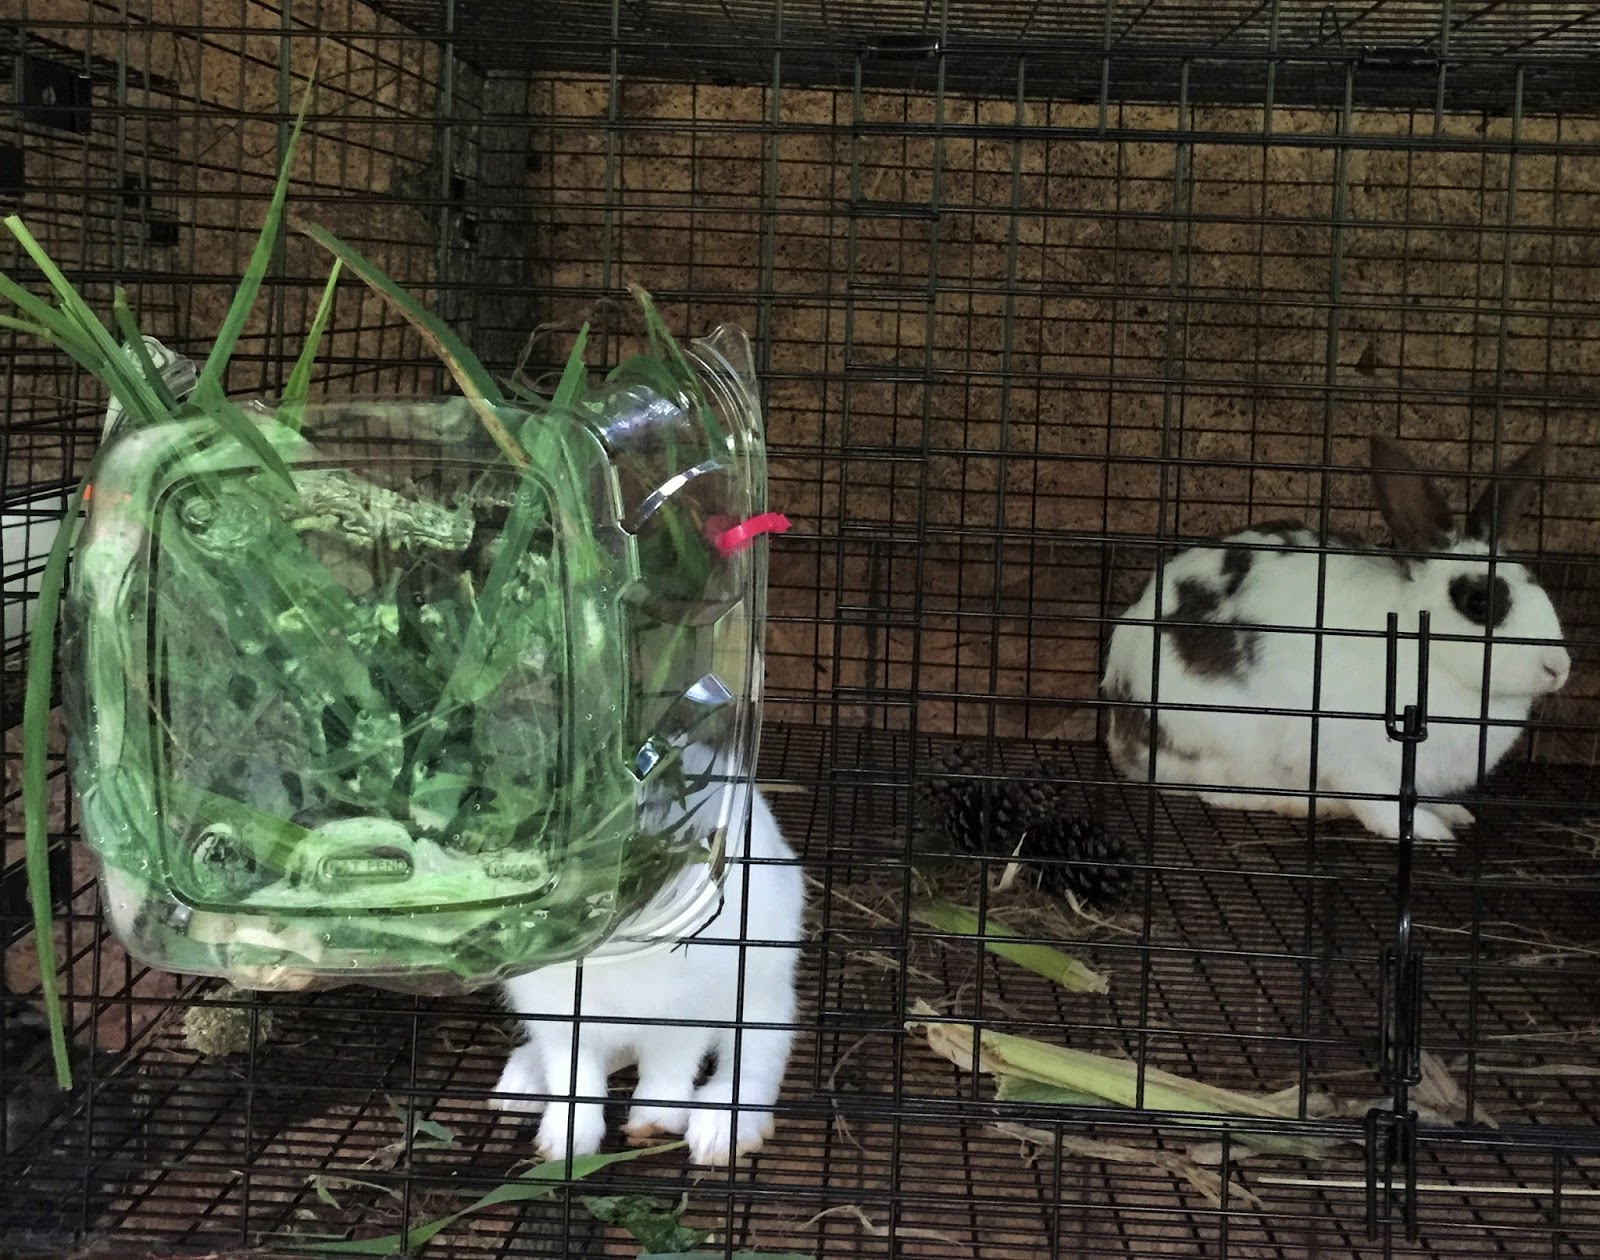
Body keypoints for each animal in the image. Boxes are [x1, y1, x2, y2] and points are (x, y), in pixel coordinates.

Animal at [492, 744, 804, 1167]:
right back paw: (519, 1085)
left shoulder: (682, 1017)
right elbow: (575, 1079)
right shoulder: (559, 1023)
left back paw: (720, 1133)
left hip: (762, 997)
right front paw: (563, 1145)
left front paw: (651, 1124)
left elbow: (666, 1072)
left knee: (754, 1062)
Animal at [1101, 434, 1570, 843]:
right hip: (1221, 739)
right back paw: (1313, 804)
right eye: (1476, 602)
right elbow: (1381, 805)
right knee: (1223, 792)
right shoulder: (1356, 762)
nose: (1559, 668)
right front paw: (1426, 830)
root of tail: (1119, 733)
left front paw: (1452, 813)